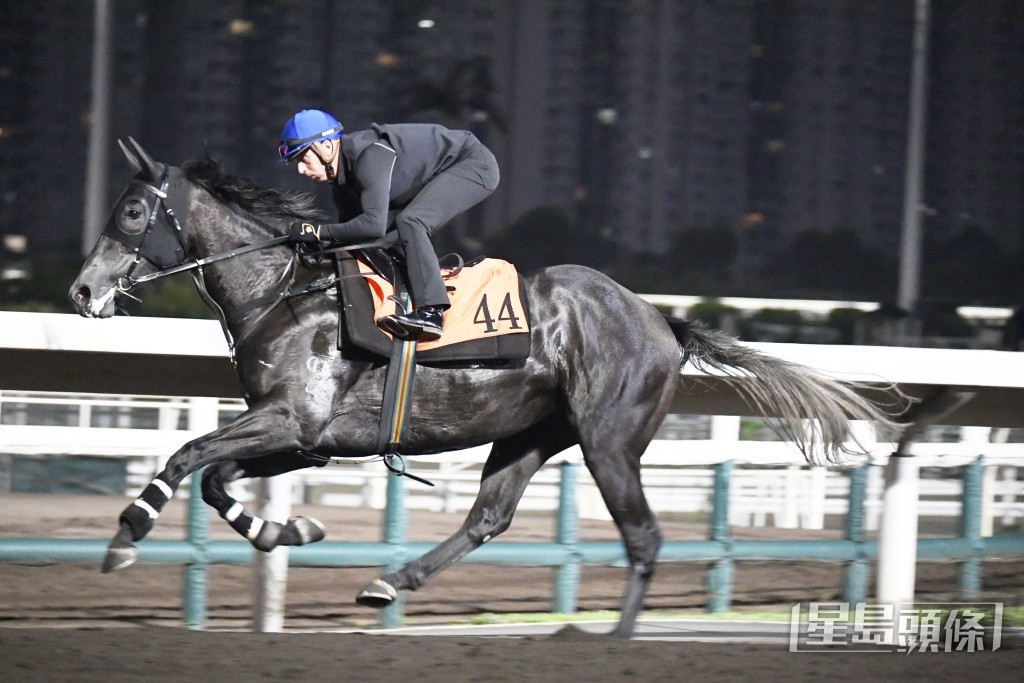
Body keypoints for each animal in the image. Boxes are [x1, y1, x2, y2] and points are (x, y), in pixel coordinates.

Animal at [69, 138, 904, 639]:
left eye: (133, 210)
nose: (82, 290)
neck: (283, 291)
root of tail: (662, 322)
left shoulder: (292, 420)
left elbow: (187, 455)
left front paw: (126, 535)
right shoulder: (303, 437)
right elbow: (217, 479)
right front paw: (291, 531)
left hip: (608, 443)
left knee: (643, 535)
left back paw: (618, 637)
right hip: (531, 431)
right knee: (489, 517)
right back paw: (390, 582)